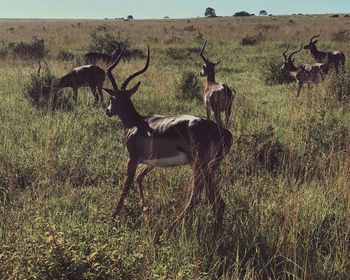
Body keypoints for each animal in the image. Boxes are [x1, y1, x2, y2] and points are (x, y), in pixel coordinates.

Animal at [103, 46, 232, 234]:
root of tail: (223, 132)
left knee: (200, 198)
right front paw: (144, 207)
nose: (107, 110)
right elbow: (139, 178)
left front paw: (113, 218)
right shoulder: (151, 162)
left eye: (112, 98)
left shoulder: (132, 159)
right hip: (207, 167)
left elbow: (126, 187)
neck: (136, 123)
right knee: (213, 200)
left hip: (200, 166)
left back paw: (168, 229)